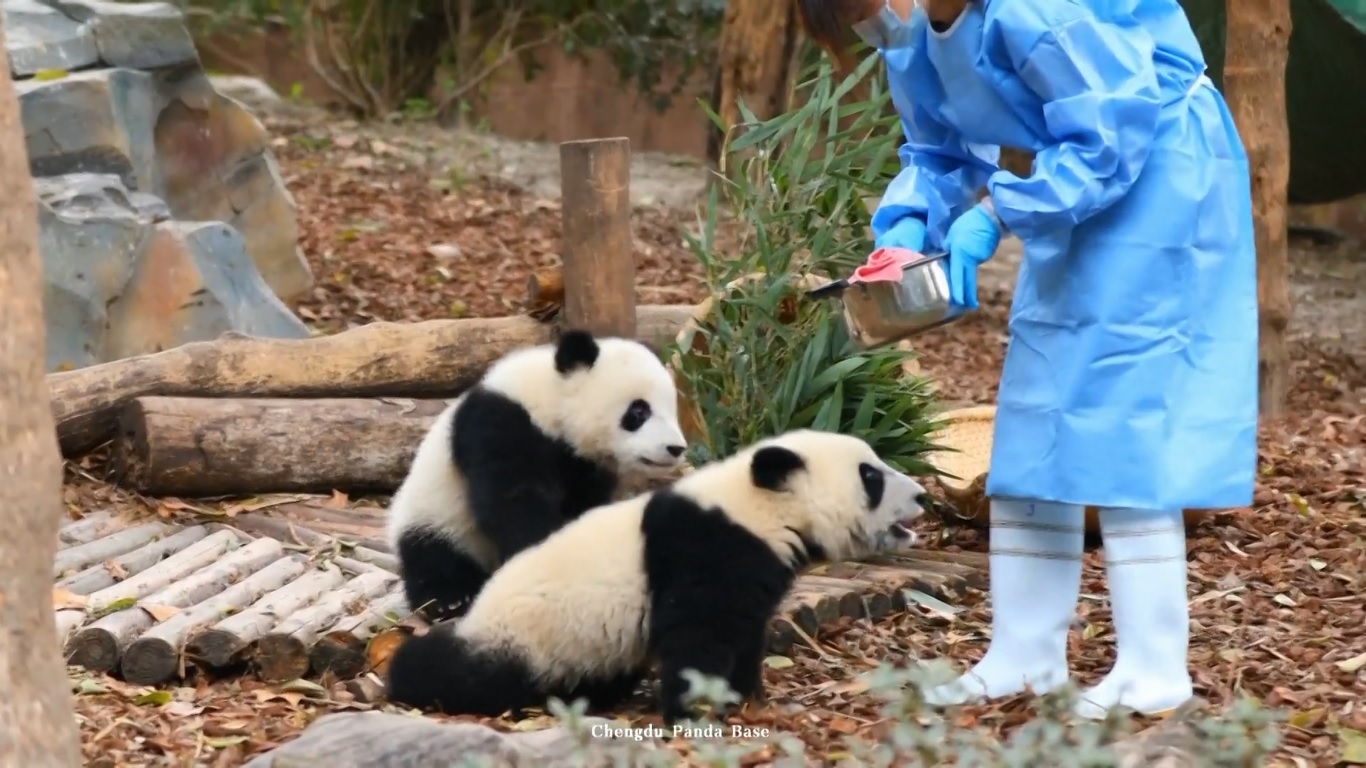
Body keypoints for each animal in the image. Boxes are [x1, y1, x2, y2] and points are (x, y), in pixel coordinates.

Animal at [384, 428, 928, 725]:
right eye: (871, 477)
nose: (923, 494)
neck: (761, 510)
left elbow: (747, 635)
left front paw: (746, 699)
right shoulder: (705, 549)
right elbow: (697, 635)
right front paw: (695, 711)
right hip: (526, 634)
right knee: (467, 671)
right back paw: (407, 673)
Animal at [386, 329, 688, 623]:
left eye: (672, 409)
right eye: (639, 411)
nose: (676, 448)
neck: (548, 400)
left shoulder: (583, 465)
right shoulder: (500, 423)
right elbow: (512, 501)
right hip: (437, 515)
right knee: (432, 557)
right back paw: (448, 601)